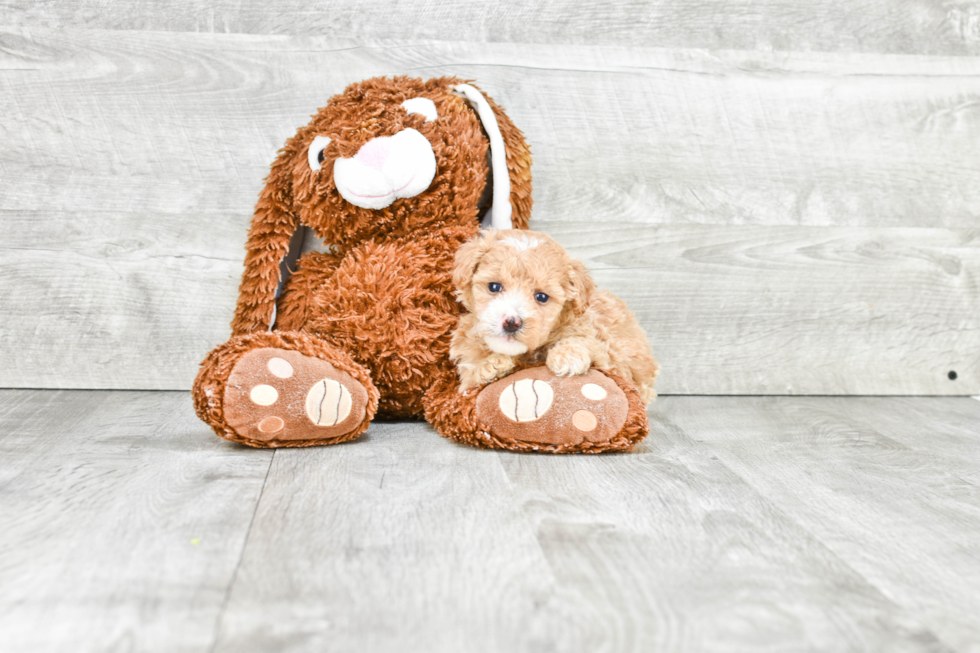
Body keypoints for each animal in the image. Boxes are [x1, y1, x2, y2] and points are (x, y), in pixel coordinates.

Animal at [452, 229, 660, 402]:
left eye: (542, 297)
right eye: (494, 286)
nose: (512, 322)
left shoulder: (604, 350)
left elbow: (584, 341)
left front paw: (567, 356)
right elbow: (470, 376)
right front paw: (489, 366)